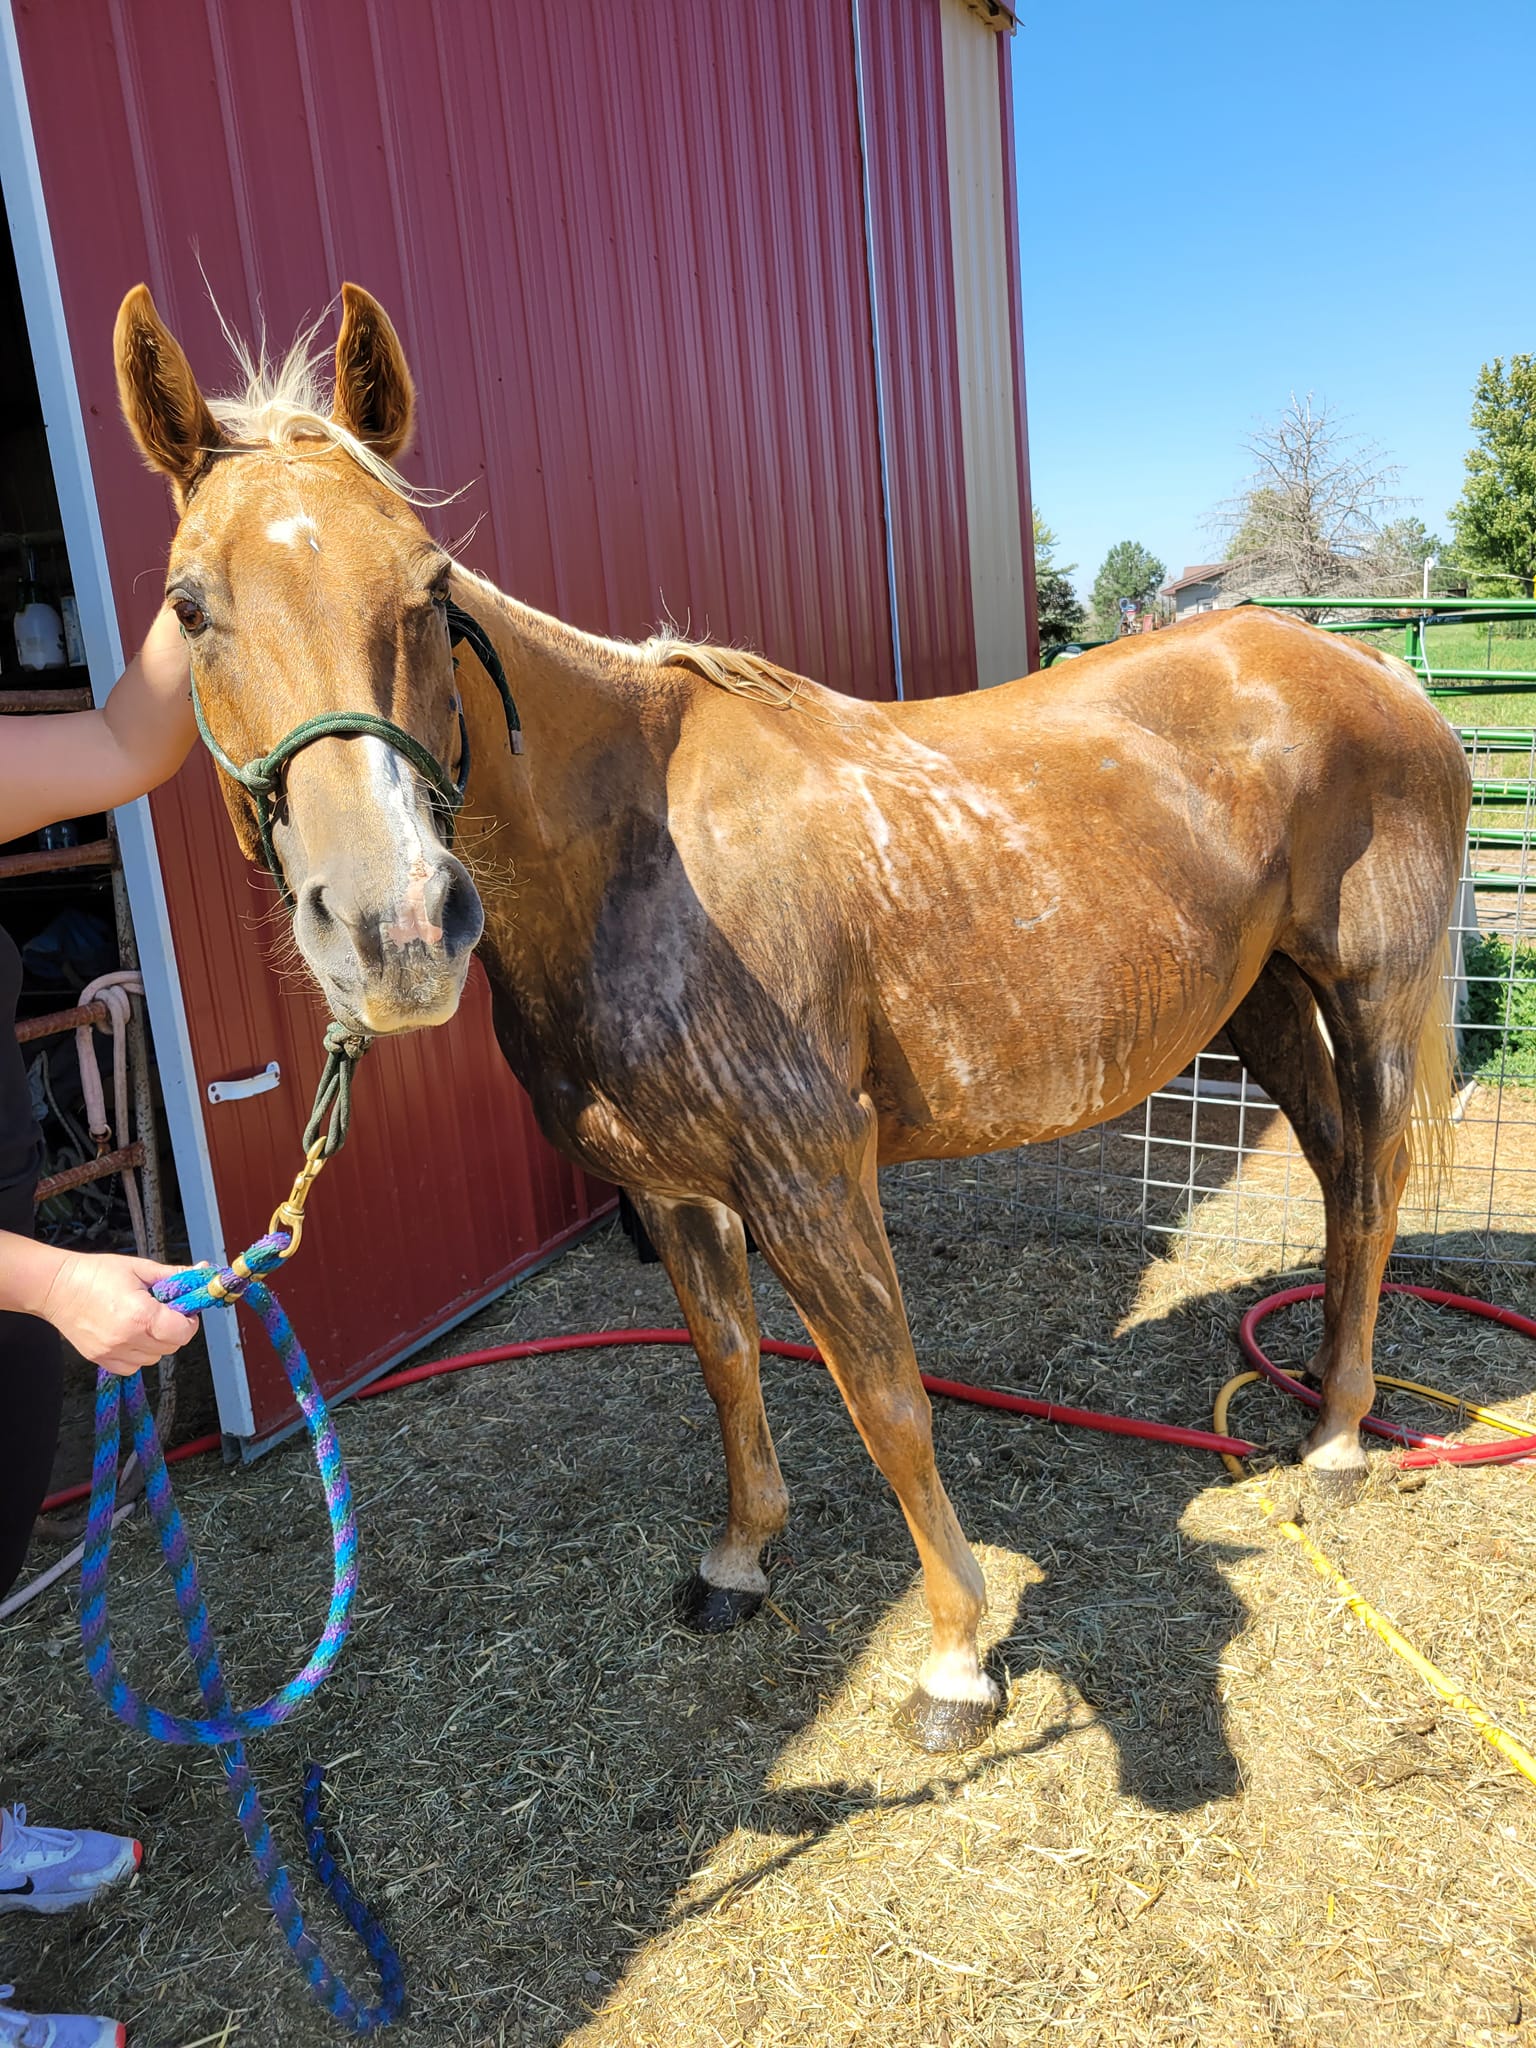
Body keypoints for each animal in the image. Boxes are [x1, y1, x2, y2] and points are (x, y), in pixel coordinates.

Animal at [114, 284, 1474, 1761]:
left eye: (428, 587)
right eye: (190, 607)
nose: (394, 927)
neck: (637, 858)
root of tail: (1369, 666)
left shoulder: (810, 1173)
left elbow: (886, 1399)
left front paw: (956, 1662)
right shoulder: (676, 1189)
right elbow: (725, 1365)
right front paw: (740, 1559)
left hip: (1372, 993)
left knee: (1377, 1182)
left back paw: (1337, 1439)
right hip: (1263, 1000)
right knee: (1337, 1176)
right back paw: (1323, 1405)